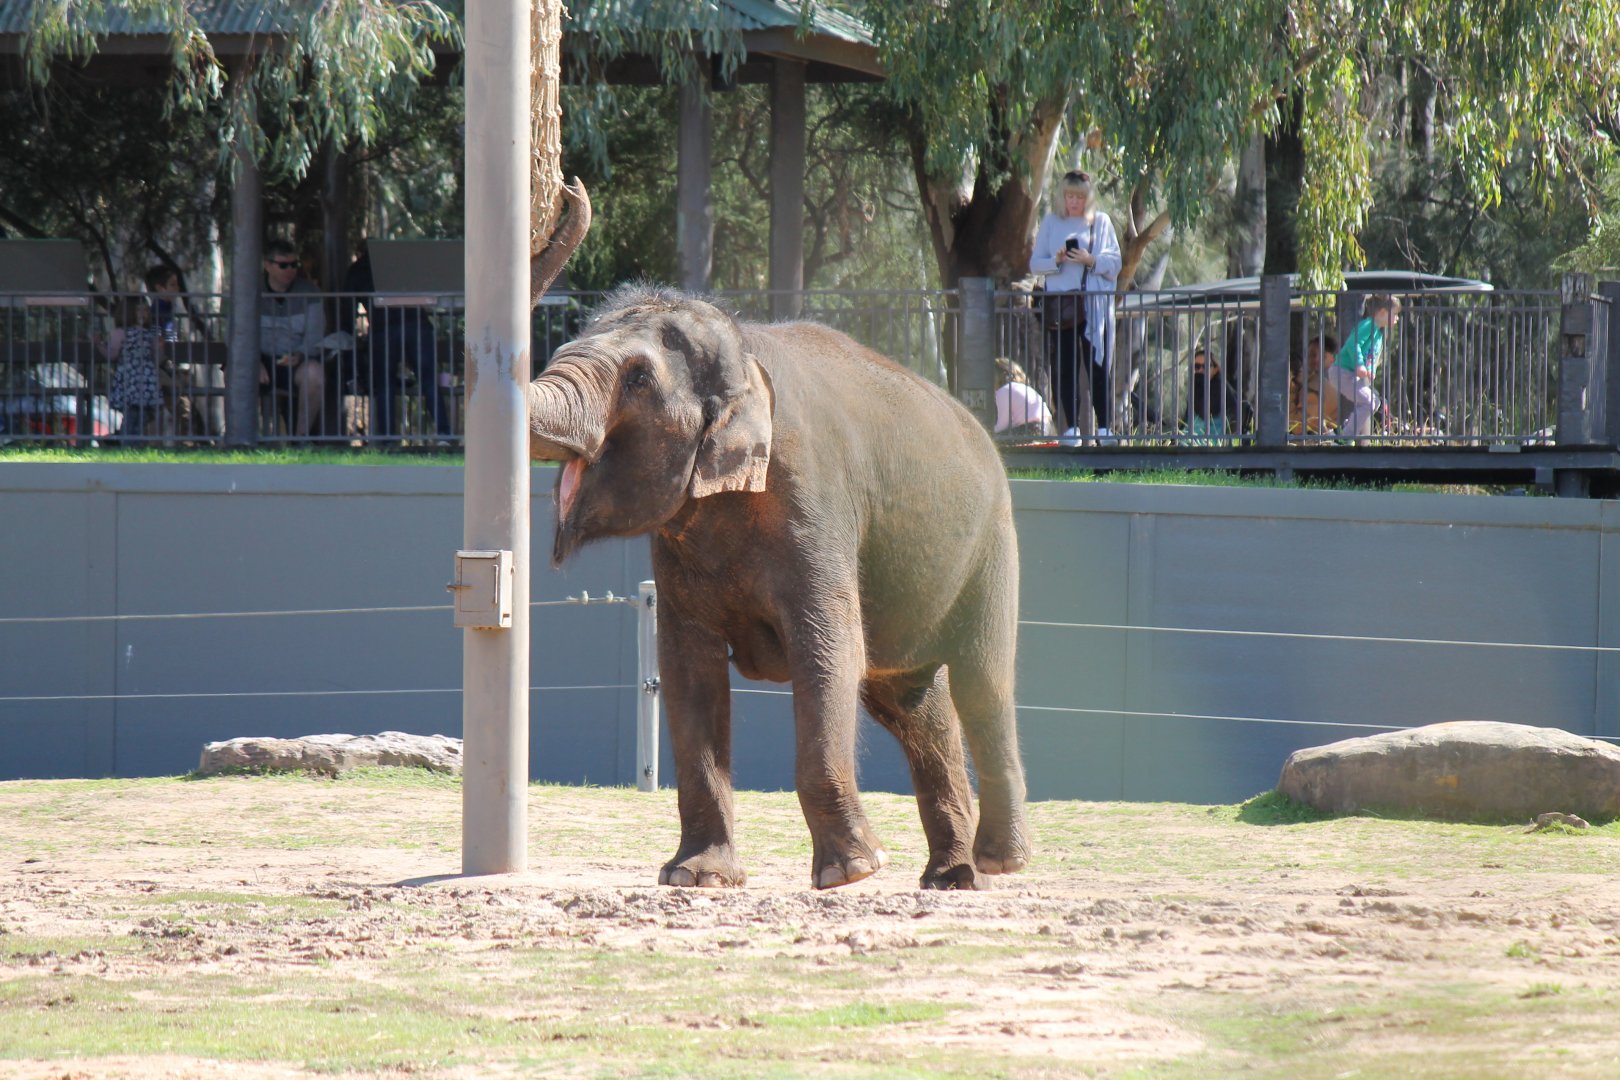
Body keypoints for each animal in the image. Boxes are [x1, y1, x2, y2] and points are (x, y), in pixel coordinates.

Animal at [527, 285, 1029, 891]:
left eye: (639, 379)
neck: (744, 350)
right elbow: (687, 670)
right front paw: (695, 877)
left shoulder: (814, 504)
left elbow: (830, 649)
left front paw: (850, 872)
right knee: (914, 707)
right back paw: (952, 878)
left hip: (993, 543)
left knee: (982, 685)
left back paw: (999, 861)